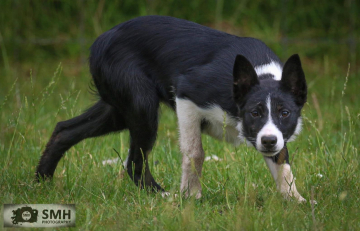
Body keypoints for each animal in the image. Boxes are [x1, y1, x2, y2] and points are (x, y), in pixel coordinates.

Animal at [35, 15, 306, 200]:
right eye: (254, 113)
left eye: (285, 113)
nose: (268, 141)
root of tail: (102, 39)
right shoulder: (187, 96)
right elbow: (195, 153)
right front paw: (191, 197)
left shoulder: (276, 138)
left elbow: (283, 163)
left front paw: (295, 201)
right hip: (142, 106)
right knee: (134, 162)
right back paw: (162, 195)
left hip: (118, 110)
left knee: (64, 130)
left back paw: (41, 182)